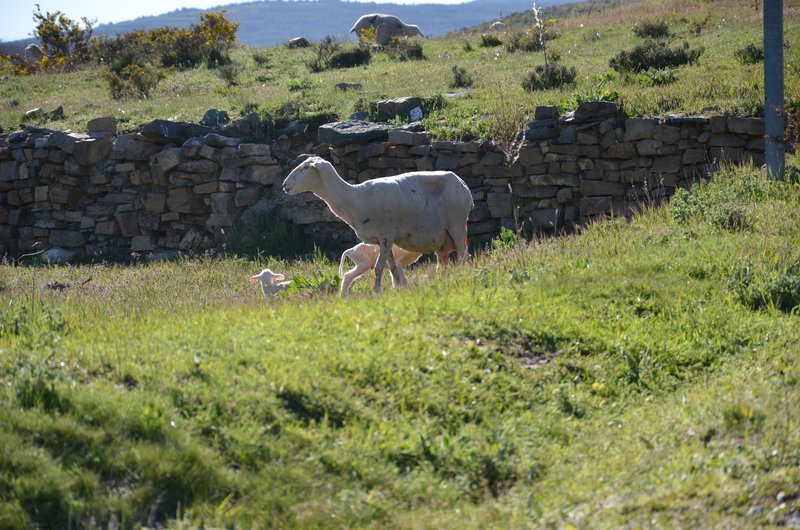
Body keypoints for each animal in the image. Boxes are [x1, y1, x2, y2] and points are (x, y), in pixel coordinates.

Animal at [282, 155, 472, 292]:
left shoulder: (387, 235)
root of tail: (463, 185)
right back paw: (445, 283)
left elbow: (379, 268)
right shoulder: (383, 240)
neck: (355, 197)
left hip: (457, 225)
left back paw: (464, 279)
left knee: (464, 257)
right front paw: (399, 290)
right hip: (442, 240)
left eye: (305, 168)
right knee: (445, 264)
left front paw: (376, 292)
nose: (284, 185)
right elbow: (393, 267)